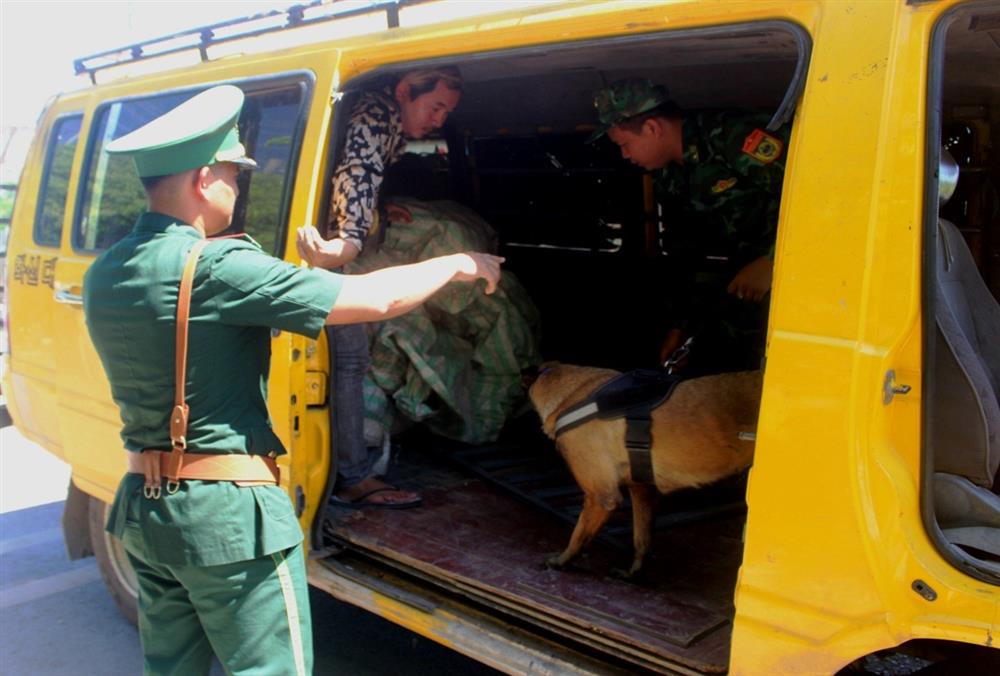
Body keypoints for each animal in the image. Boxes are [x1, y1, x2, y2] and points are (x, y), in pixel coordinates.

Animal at [528, 362, 760, 580]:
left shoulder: (601, 497)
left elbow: (578, 536)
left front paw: (562, 561)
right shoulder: (643, 490)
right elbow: (642, 540)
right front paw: (633, 573)